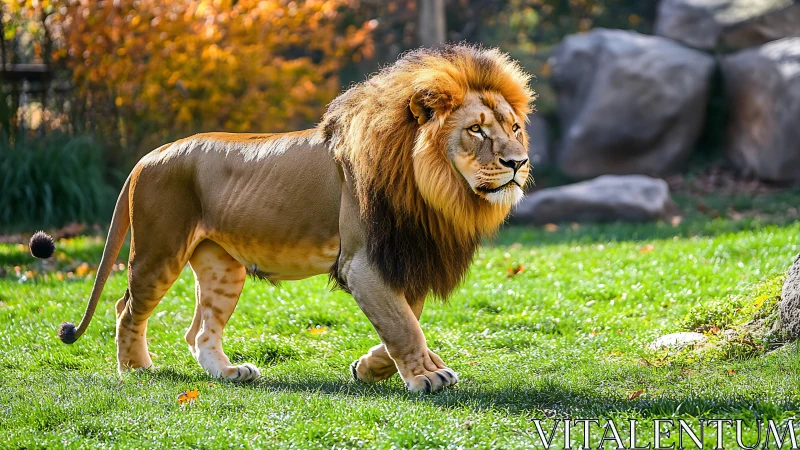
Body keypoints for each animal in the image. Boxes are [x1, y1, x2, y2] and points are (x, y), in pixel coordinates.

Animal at [34, 44, 535, 393]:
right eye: (476, 130)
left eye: (514, 127)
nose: (519, 162)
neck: (432, 189)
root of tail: (148, 156)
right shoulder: (363, 262)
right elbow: (403, 325)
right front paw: (426, 376)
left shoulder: (402, 256)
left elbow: (404, 321)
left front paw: (369, 368)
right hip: (158, 251)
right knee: (127, 309)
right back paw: (138, 369)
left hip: (221, 266)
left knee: (200, 330)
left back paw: (229, 373)